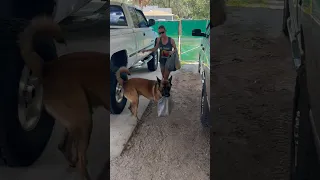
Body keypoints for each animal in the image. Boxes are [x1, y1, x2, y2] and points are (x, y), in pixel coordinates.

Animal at [18, 15, 109, 180]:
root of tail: (47, 67)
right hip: (84, 119)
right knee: (79, 161)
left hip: (77, 118)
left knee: (64, 146)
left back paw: (72, 161)